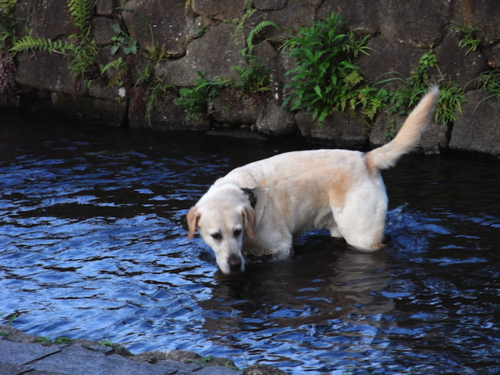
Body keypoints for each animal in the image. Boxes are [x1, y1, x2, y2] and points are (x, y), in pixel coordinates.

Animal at [187, 88, 438, 276]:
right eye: (215, 236)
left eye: (237, 231)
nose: (234, 264)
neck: (249, 195)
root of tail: (366, 157)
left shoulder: (280, 248)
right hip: (340, 227)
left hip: (361, 235)